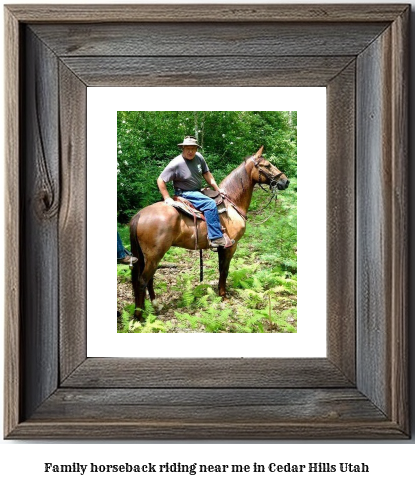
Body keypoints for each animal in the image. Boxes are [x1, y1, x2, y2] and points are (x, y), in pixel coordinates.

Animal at [130, 146, 290, 320]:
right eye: (267, 165)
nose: (286, 181)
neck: (232, 203)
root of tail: (139, 215)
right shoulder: (231, 246)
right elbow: (225, 271)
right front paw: (224, 296)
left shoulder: (222, 248)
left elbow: (221, 270)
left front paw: (220, 294)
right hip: (155, 255)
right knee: (142, 281)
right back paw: (139, 316)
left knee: (148, 279)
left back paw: (155, 305)